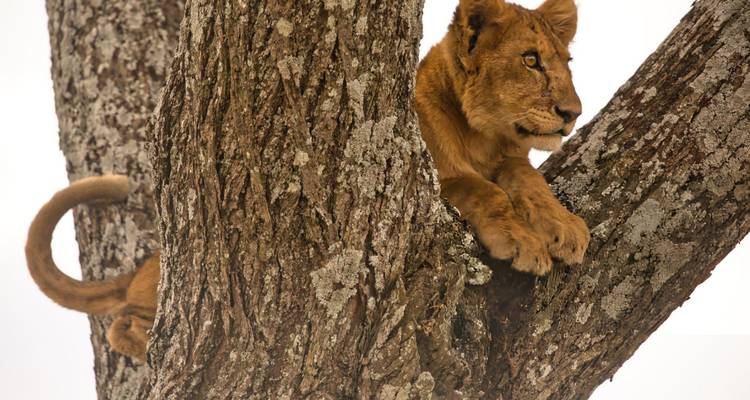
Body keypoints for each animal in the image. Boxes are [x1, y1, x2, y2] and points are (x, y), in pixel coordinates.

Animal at [416, 0, 590, 275]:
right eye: (530, 59)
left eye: (567, 61)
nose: (573, 113)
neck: (482, 139)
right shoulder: (435, 179)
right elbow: (483, 189)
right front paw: (523, 241)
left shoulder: (513, 157)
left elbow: (529, 177)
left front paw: (565, 225)